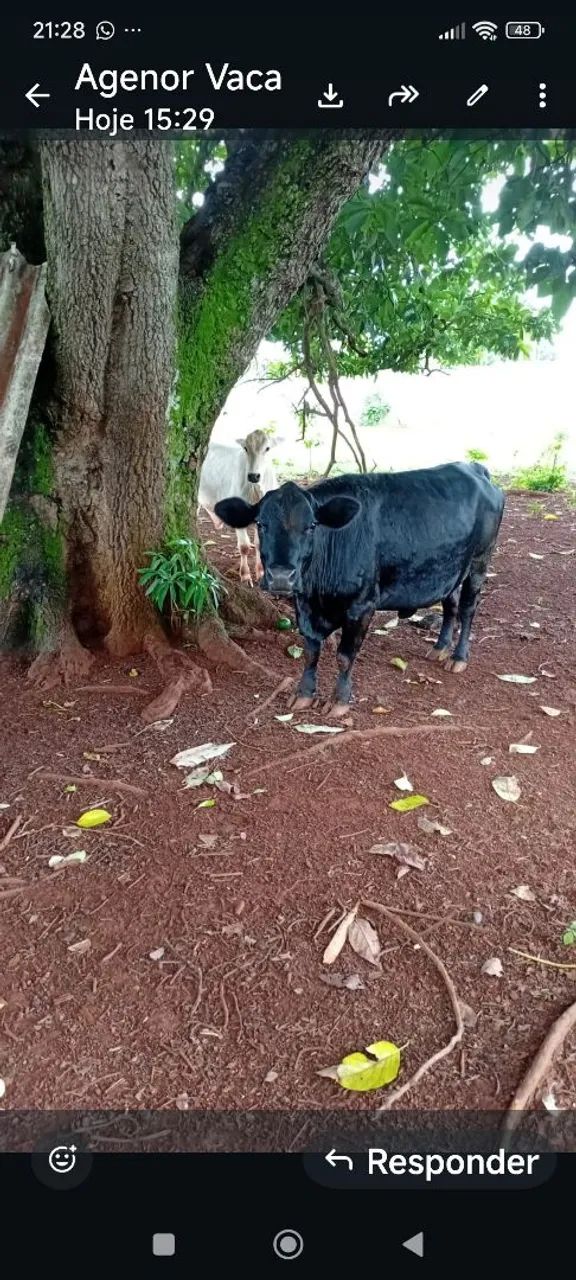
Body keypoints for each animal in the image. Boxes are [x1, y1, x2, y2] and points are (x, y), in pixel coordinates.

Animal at [198, 428, 281, 585]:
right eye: (246, 448)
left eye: (267, 448)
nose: (254, 476)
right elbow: (244, 546)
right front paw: (246, 575)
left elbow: (259, 544)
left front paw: (260, 572)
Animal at [215, 461, 505, 717]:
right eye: (260, 524)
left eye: (311, 526)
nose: (282, 577)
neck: (318, 594)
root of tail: (474, 468)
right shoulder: (305, 606)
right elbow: (310, 651)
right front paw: (304, 694)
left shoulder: (362, 605)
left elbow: (344, 656)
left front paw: (339, 700)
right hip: (451, 568)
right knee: (450, 604)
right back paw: (440, 647)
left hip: (479, 561)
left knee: (467, 608)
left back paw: (458, 657)